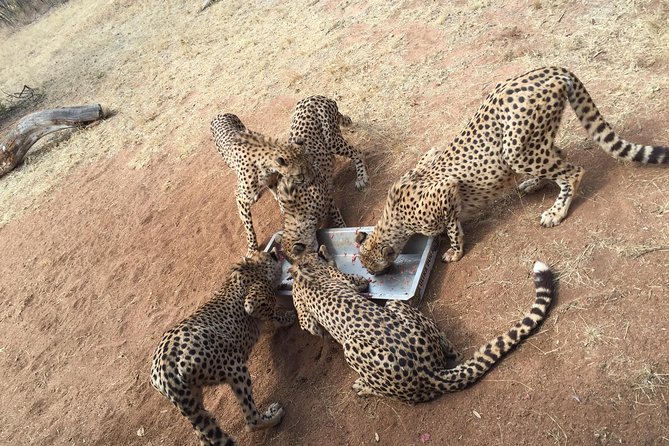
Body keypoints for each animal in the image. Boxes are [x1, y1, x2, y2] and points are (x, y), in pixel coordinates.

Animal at [151, 251, 298, 446]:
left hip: (194, 400)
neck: (252, 267)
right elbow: (270, 313)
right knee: (250, 420)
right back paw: (272, 417)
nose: (279, 254)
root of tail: (163, 374)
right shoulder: (252, 303)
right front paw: (286, 318)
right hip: (233, 366)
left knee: (203, 435)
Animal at [210, 113, 310, 256]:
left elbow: (279, 195)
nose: (309, 179)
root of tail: (220, 114)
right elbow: (248, 226)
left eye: (309, 164)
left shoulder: (273, 178)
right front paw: (252, 248)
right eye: (299, 174)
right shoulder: (240, 197)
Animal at [290, 244, 556, 404]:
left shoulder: (328, 295)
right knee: (449, 347)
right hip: (396, 307)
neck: (307, 272)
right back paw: (451, 350)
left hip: (352, 347)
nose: (316, 248)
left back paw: (363, 386)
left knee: (399, 396)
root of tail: (429, 370)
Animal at [354, 66, 668, 274]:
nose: (370, 276)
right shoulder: (428, 159)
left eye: (371, 268)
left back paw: (556, 212)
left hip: (516, 150)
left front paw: (454, 251)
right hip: (535, 138)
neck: (393, 219)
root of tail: (550, 69)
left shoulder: (446, 193)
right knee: (559, 154)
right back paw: (534, 184)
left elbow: (453, 227)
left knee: (573, 171)